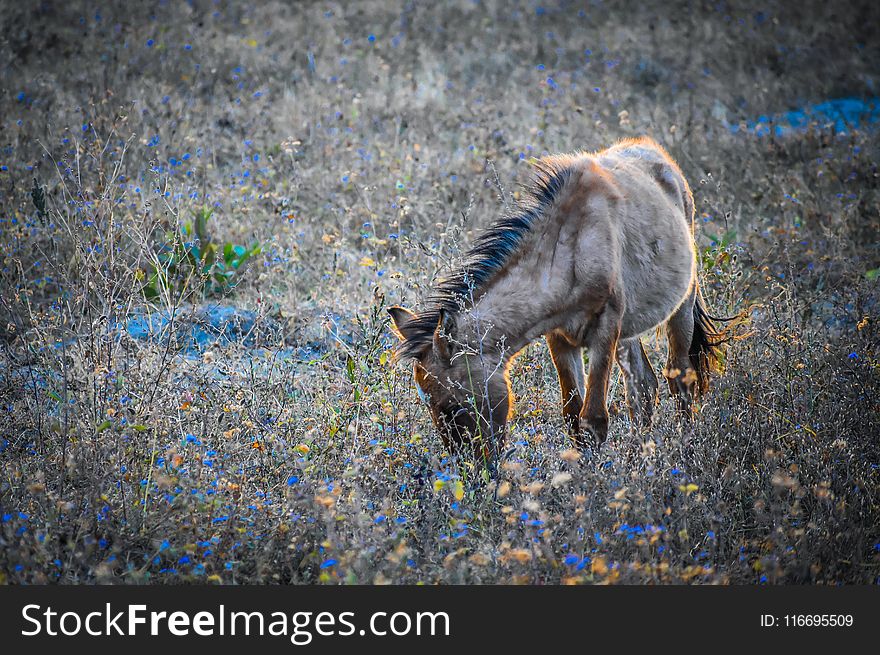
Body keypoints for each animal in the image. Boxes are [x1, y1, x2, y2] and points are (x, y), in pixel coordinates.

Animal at [388, 136, 724, 468]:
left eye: (452, 405)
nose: (474, 471)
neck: (569, 249)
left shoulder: (605, 331)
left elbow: (594, 419)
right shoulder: (560, 337)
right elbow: (573, 416)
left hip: (681, 307)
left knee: (680, 380)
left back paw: (684, 456)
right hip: (630, 331)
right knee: (642, 386)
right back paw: (638, 462)